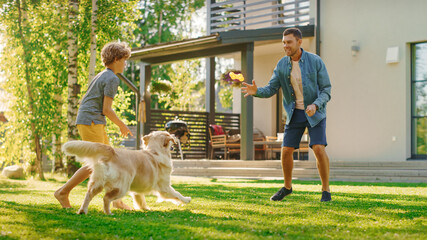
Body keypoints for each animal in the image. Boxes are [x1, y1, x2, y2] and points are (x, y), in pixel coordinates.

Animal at [61, 130, 191, 215]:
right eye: (169, 134)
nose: (175, 135)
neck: (155, 151)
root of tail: (112, 152)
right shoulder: (164, 187)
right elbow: (177, 194)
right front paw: (186, 200)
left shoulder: (138, 189)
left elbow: (140, 199)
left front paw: (144, 208)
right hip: (122, 187)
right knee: (106, 198)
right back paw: (108, 213)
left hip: (97, 183)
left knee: (88, 194)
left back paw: (83, 211)